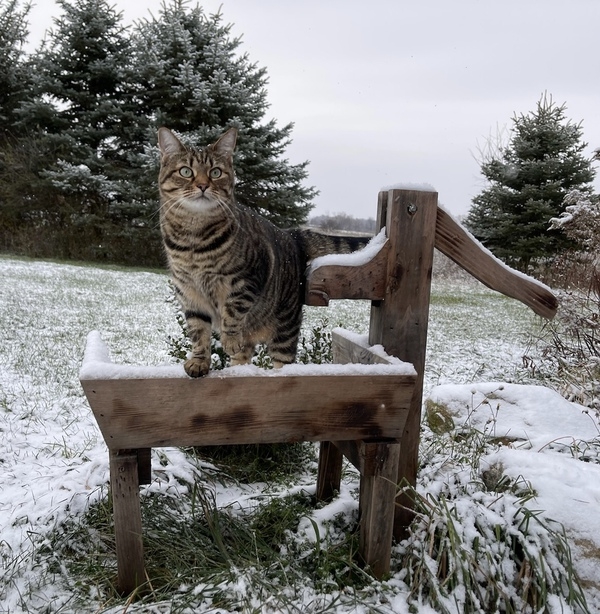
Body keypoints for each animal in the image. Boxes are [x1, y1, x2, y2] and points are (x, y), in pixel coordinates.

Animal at [157, 127, 368, 378]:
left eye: (216, 172)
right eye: (186, 171)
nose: (202, 185)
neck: (193, 241)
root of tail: (291, 234)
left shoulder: (248, 278)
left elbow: (232, 310)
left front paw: (229, 339)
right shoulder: (190, 294)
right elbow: (198, 332)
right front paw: (199, 361)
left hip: (285, 329)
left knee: (283, 362)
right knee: (242, 359)